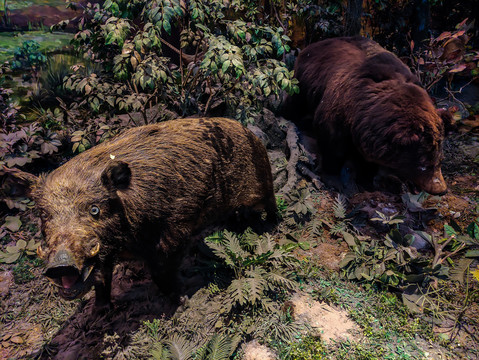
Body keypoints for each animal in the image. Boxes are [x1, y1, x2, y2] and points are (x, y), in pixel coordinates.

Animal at [284, 35, 454, 195]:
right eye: (423, 165)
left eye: (440, 160)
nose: (441, 189)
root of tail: (314, 44)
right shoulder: (340, 110)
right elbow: (332, 144)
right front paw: (333, 176)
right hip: (304, 82)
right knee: (294, 104)